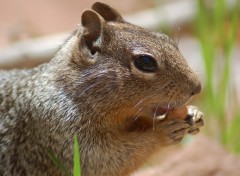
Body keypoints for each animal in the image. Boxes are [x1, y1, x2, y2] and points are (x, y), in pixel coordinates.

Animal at [0, 1, 204, 176]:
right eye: (145, 62)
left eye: (167, 39)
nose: (198, 87)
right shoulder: (61, 131)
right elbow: (107, 160)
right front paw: (162, 132)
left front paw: (194, 114)